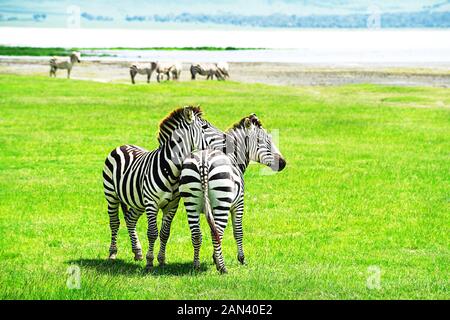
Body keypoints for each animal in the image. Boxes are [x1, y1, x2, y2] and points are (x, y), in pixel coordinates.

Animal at [104, 105, 227, 270]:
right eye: (205, 127)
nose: (227, 139)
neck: (170, 170)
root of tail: (123, 145)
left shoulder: (172, 205)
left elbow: (164, 233)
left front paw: (161, 259)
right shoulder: (151, 204)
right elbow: (152, 232)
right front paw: (150, 261)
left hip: (138, 202)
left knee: (130, 220)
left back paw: (137, 252)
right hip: (111, 195)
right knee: (114, 223)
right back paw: (112, 253)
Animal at [178, 114, 284, 274]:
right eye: (264, 141)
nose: (283, 163)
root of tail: (203, 161)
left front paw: (215, 257)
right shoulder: (238, 204)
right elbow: (238, 231)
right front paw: (240, 259)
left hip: (191, 203)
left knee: (197, 234)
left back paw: (196, 265)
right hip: (222, 203)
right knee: (217, 233)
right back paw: (222, 268)